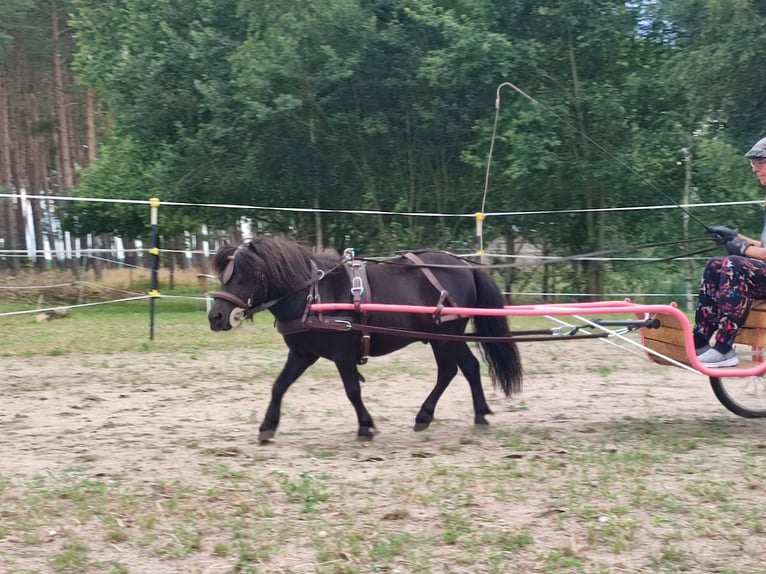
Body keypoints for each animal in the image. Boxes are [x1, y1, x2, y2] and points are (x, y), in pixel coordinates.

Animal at [207, 236, 523, 441]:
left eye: (244, 276)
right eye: (225, 276)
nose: (216, 317)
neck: (312, 294)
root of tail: (464, 266)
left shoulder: (343, 355)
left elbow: (352, 390)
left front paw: (365, 426)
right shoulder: (302, 354)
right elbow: (279, 386)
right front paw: (267, 426)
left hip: (445, 336)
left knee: (451, 370)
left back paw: (430, 415)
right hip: (444, 337)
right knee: (467, 368)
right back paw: (474, 414)